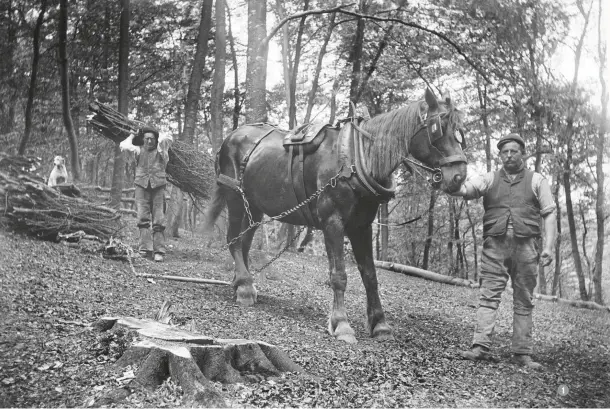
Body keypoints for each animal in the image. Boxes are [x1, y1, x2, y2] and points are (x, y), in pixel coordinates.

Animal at [203, 87, 466, 342]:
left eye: (459, 130)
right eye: (437, 128)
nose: (459, 176)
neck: (356, 157)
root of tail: (231, 136)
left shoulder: (362, 227)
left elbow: (370, 276)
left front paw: (380, 325)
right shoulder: (333, 222)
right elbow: (339, 275)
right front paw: (341, 324)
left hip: (255, 208)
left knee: (245, 243)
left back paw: (241, 282)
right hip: (235, 199)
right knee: (233, 240)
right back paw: (245, 288)